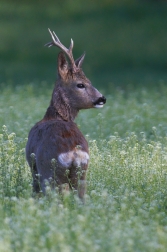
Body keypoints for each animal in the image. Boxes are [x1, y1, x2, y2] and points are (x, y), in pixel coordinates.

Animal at [25, 28, 106, 201]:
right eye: (81, 84)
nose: (102, 98)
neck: (52, 116)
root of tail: (74, 152)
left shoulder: (32, 165)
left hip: (49, 171)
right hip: (82, 173)